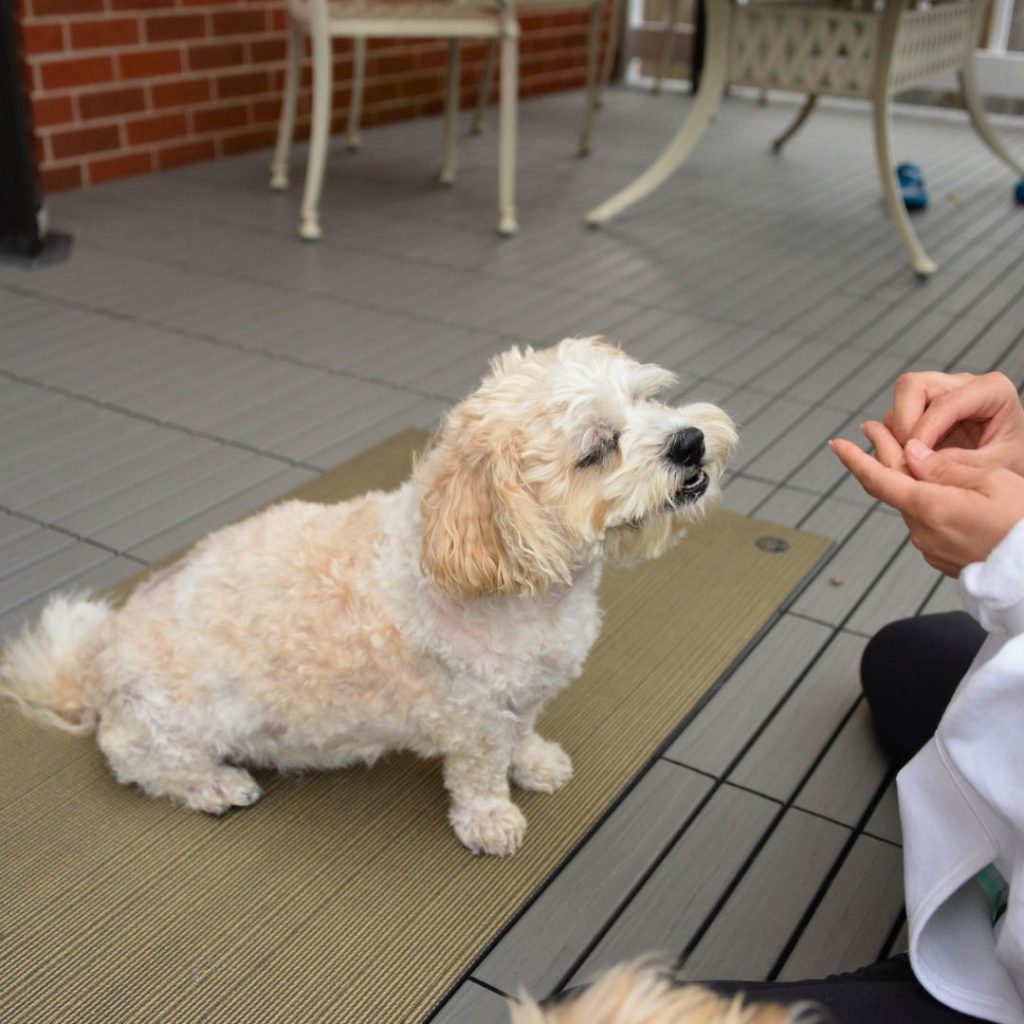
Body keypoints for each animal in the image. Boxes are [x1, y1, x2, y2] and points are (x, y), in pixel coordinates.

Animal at [0, 335, 737, 856]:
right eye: (597, 450)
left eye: (651, 399)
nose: (689, 440)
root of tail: (93, 668)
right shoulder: (473, 718)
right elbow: (480, 775)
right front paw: (492, 821)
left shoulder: (520, 696)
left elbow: (523, 733)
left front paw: (535, 762)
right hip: (166, 727)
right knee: (146, 766)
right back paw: (216, 784)